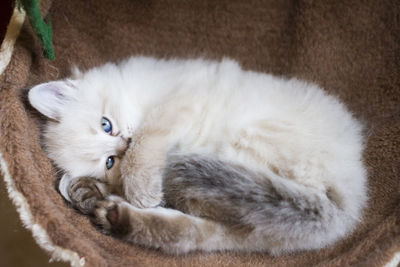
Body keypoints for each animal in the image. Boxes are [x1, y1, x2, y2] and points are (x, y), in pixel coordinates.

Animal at [28, 57, 368, 255]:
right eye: (110, 162)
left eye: (106, 125)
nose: (124, 144)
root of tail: (348, 201)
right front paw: (92, 191)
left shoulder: (177, 101)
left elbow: (148, 139)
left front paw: (139, 188)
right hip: (247, 221)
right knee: (190, 232)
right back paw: (116, 216)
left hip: (245, 138)